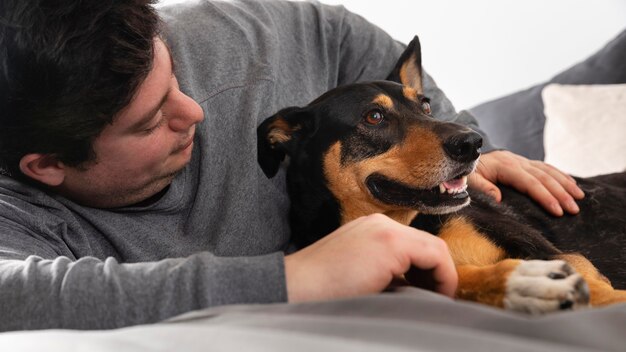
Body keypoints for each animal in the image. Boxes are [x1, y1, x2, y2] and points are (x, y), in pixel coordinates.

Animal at [255, 37, 624, 314]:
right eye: (374, 116)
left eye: (426, 106)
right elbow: (457, 282)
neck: (409, 223)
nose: (473, 144)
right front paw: (521, 286)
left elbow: (604, 296)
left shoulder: (562, 256)